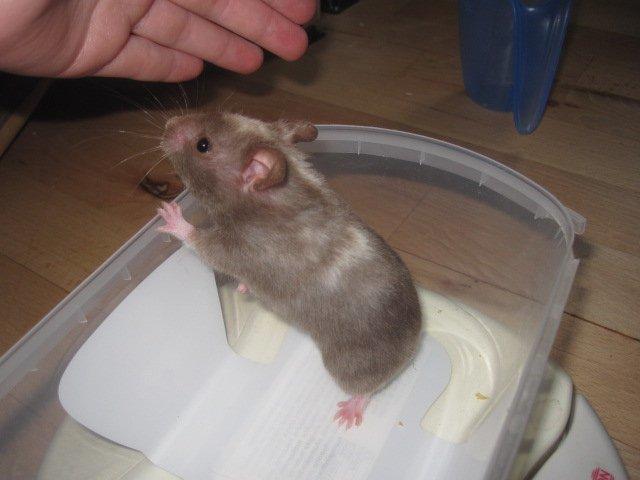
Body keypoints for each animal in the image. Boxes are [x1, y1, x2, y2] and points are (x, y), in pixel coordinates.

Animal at [157, 112, 422, 428]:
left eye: (203, 145)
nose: (168, 123)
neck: (285, 188)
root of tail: (413, 345)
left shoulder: (239, 248)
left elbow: (201, 242)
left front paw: (170, 215)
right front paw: (244, 288)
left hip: (349, 365)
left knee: (367, 389)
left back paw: (349, 412)